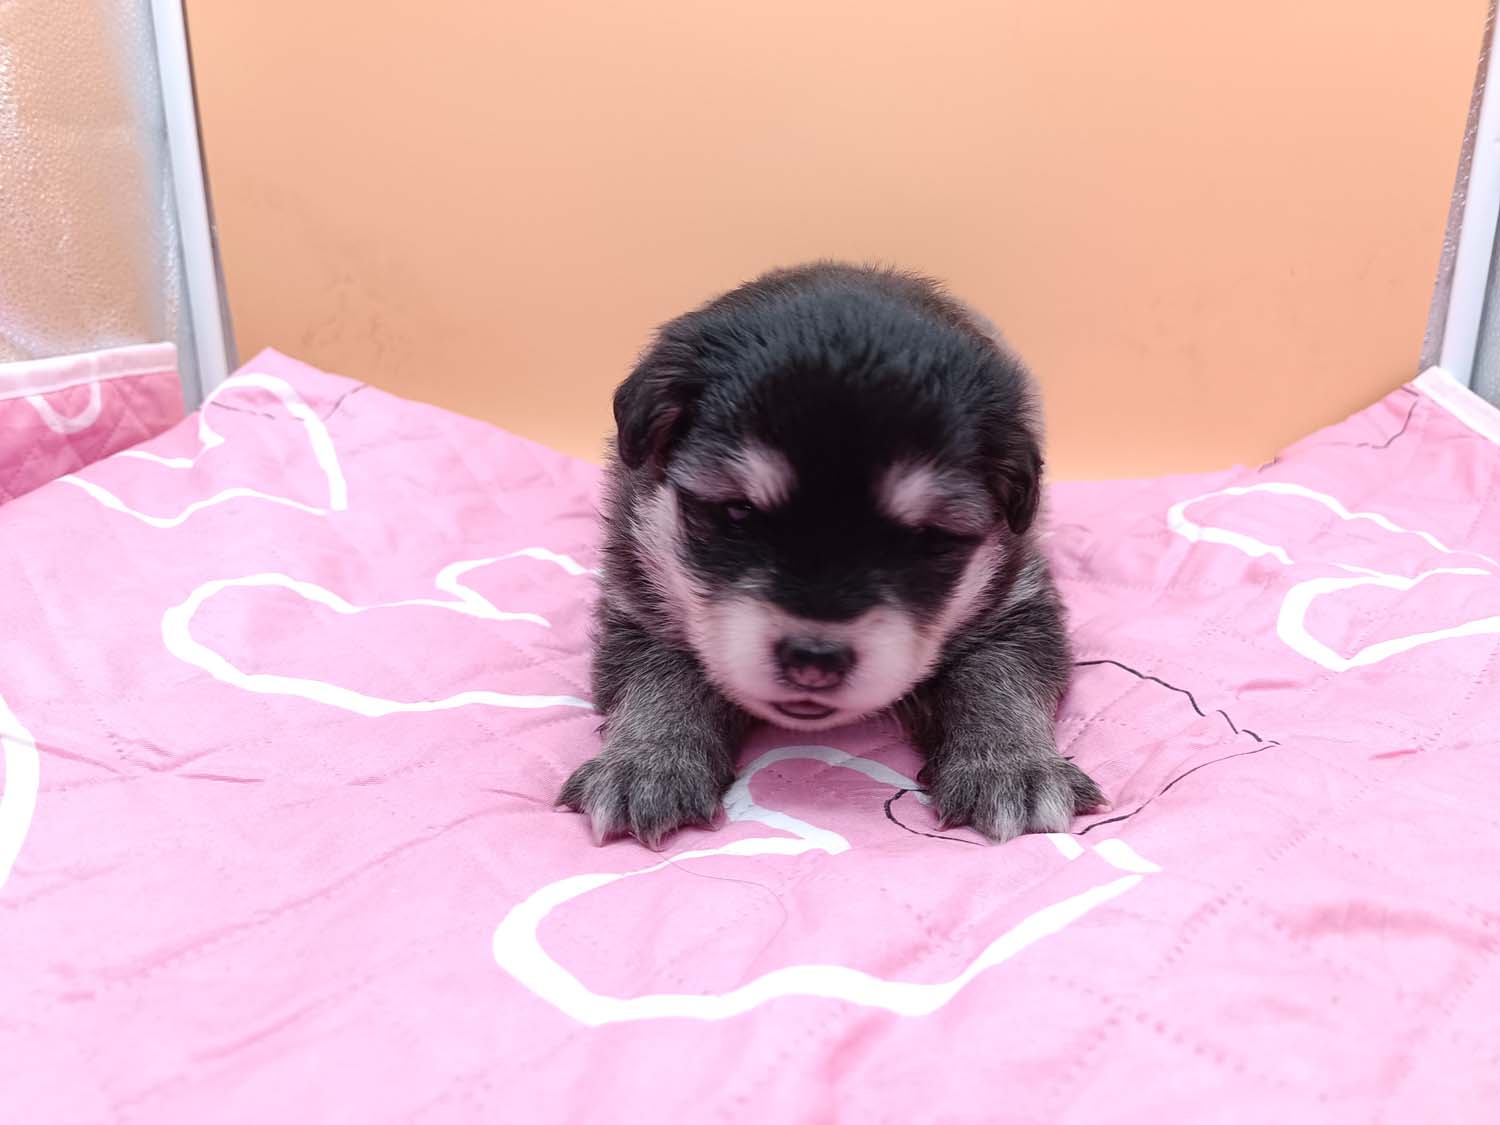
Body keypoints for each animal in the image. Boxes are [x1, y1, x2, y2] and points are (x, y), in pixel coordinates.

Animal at [559, 263, 1104, 847]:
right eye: (737, 512)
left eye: (928, 537)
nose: (814, 660)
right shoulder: (637, 600)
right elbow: (662, 680)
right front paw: (646, 766)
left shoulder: (1018, 604)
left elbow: (999, 679)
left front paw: (1012, 767)